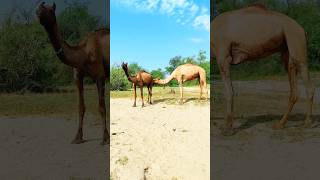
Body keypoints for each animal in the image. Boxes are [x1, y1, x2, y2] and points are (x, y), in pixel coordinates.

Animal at [36, 2, 110, 144]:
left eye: (51, 10)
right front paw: (77, 137)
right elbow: (81, 107)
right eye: (38, 9)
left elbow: (102, 107)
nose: (39, 15)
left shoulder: (100, 76)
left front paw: (105, 138)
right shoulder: (78, 76)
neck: (82, 54)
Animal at [211, 3, 314, 135]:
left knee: (308, 84)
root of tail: (302, 29)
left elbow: (229, 92)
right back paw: (280, 124)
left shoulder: (223, 56)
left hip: (296, 41)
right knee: (294, 88)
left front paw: (228, 129)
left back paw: (307, 123)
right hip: (287, 50)